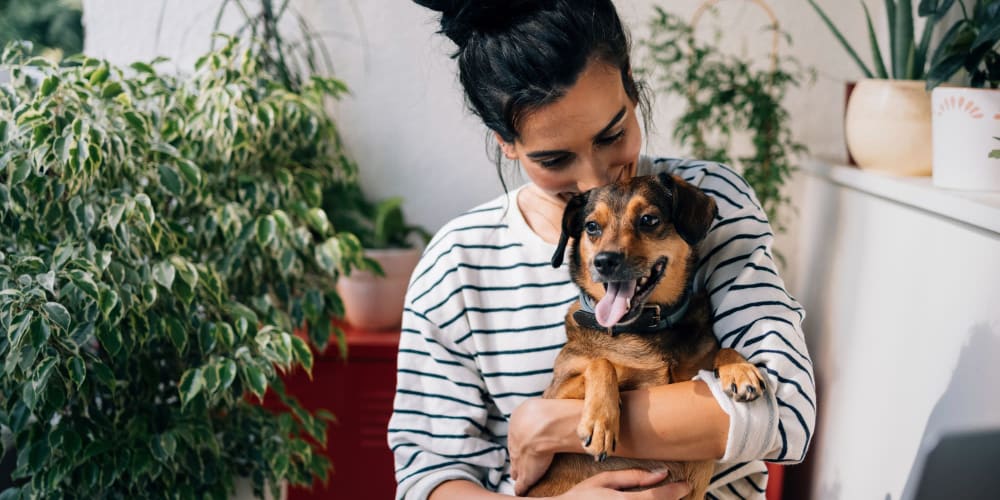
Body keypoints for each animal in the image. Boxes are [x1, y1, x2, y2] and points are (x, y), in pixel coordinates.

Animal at [524, 171, 764, 496]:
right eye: (592, 227)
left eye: (649, 220)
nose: (604, 261)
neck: (643, 329)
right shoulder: (551, 397)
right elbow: (601, 363)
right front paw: (600, 422)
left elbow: (722, 348)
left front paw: (740, 369)